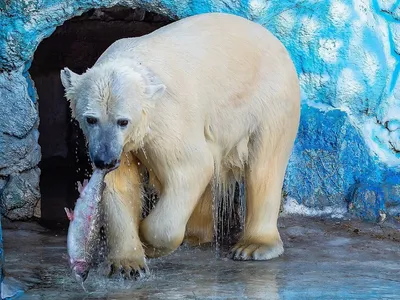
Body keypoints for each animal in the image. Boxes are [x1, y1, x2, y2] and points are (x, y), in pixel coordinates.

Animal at [61, 12, 300, 278]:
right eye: (91, 119)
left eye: (123, 121)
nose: (104, 160)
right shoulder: (122, 144)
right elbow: (120, 185)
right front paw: (128, 264)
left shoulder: (165, 117)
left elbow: (190, 167)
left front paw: (148, 242)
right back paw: (196, 236)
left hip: (270, 99)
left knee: (263, 166)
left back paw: (253, 246)